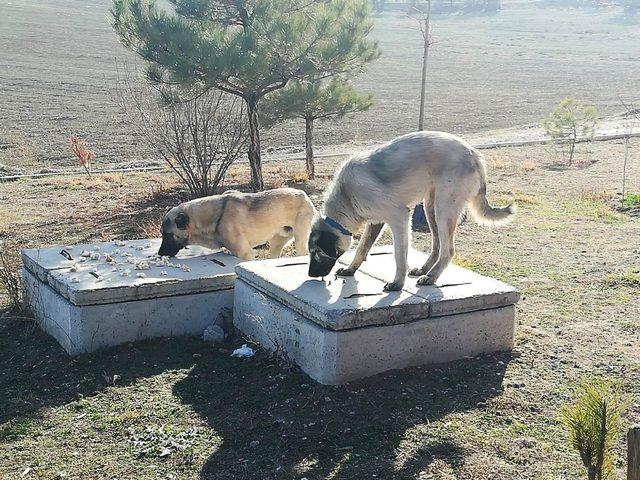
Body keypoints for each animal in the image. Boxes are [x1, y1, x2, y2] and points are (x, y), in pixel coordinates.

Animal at [159, 188, 316, 260]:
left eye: (168, 235)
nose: (160, 253)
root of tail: (305, 195)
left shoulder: (245, 254)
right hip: (275, 244)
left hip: (300, 243)